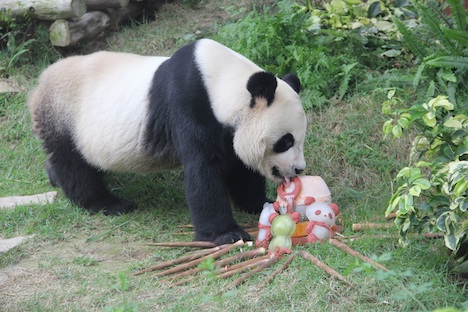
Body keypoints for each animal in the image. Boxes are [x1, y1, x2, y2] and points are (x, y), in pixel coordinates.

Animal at [28, 38, 308, 244]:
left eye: (301, 139)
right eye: (285, 141)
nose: (298, 169)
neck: (222, 83)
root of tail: (40, 82)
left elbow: (239, 166)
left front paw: (261, 203)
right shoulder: (189, 104)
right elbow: (202, 171)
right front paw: (225, 234)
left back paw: (55, 178)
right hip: (64, 116)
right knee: (73, 164)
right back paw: (106, 203)